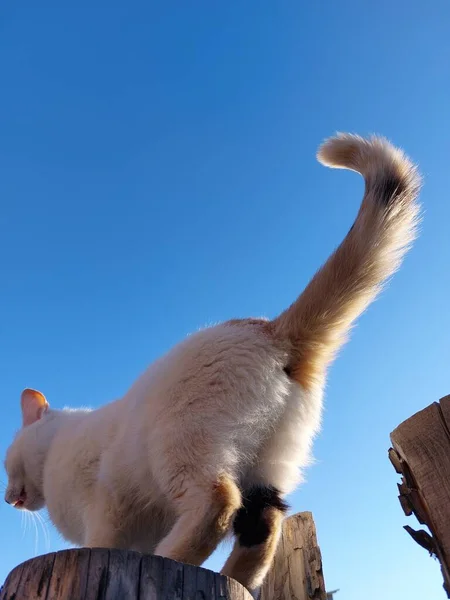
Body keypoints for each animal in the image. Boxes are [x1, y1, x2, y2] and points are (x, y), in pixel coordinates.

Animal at [3, 135, 420, 592]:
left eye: (6, 465)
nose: (8, 497)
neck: (54, 449)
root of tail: (272, 330)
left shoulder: (106, 508)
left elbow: (104, 537)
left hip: (181, 446)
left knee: (218, 503)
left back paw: (174, 557)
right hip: (269, 468)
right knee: (262, 525)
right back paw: (239, 580)